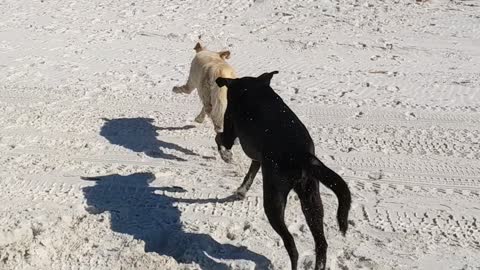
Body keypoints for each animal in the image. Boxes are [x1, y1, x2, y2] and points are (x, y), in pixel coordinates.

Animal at [216, 71, 350, 270]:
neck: (253, 87)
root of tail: (301, 155)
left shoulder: (230, 129)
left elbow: (219, 138)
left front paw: (226, 156)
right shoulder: (259, 156)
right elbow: (252, 170)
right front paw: (241, 190)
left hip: (274, 201)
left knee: (291, 245)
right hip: (311, 199)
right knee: (321, 243)